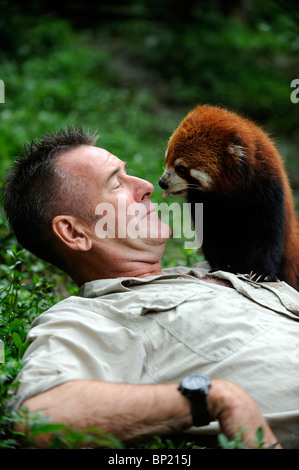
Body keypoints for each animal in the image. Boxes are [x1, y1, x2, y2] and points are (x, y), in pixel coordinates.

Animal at [161, 105, 299, 290]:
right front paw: (224, 266)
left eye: (181, 168)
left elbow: (267, 233)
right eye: (166, 160)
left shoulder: (267, 187)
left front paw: (263, 272)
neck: (228, 192)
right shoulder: (203, 201)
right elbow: (211, 234)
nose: (162, 182)